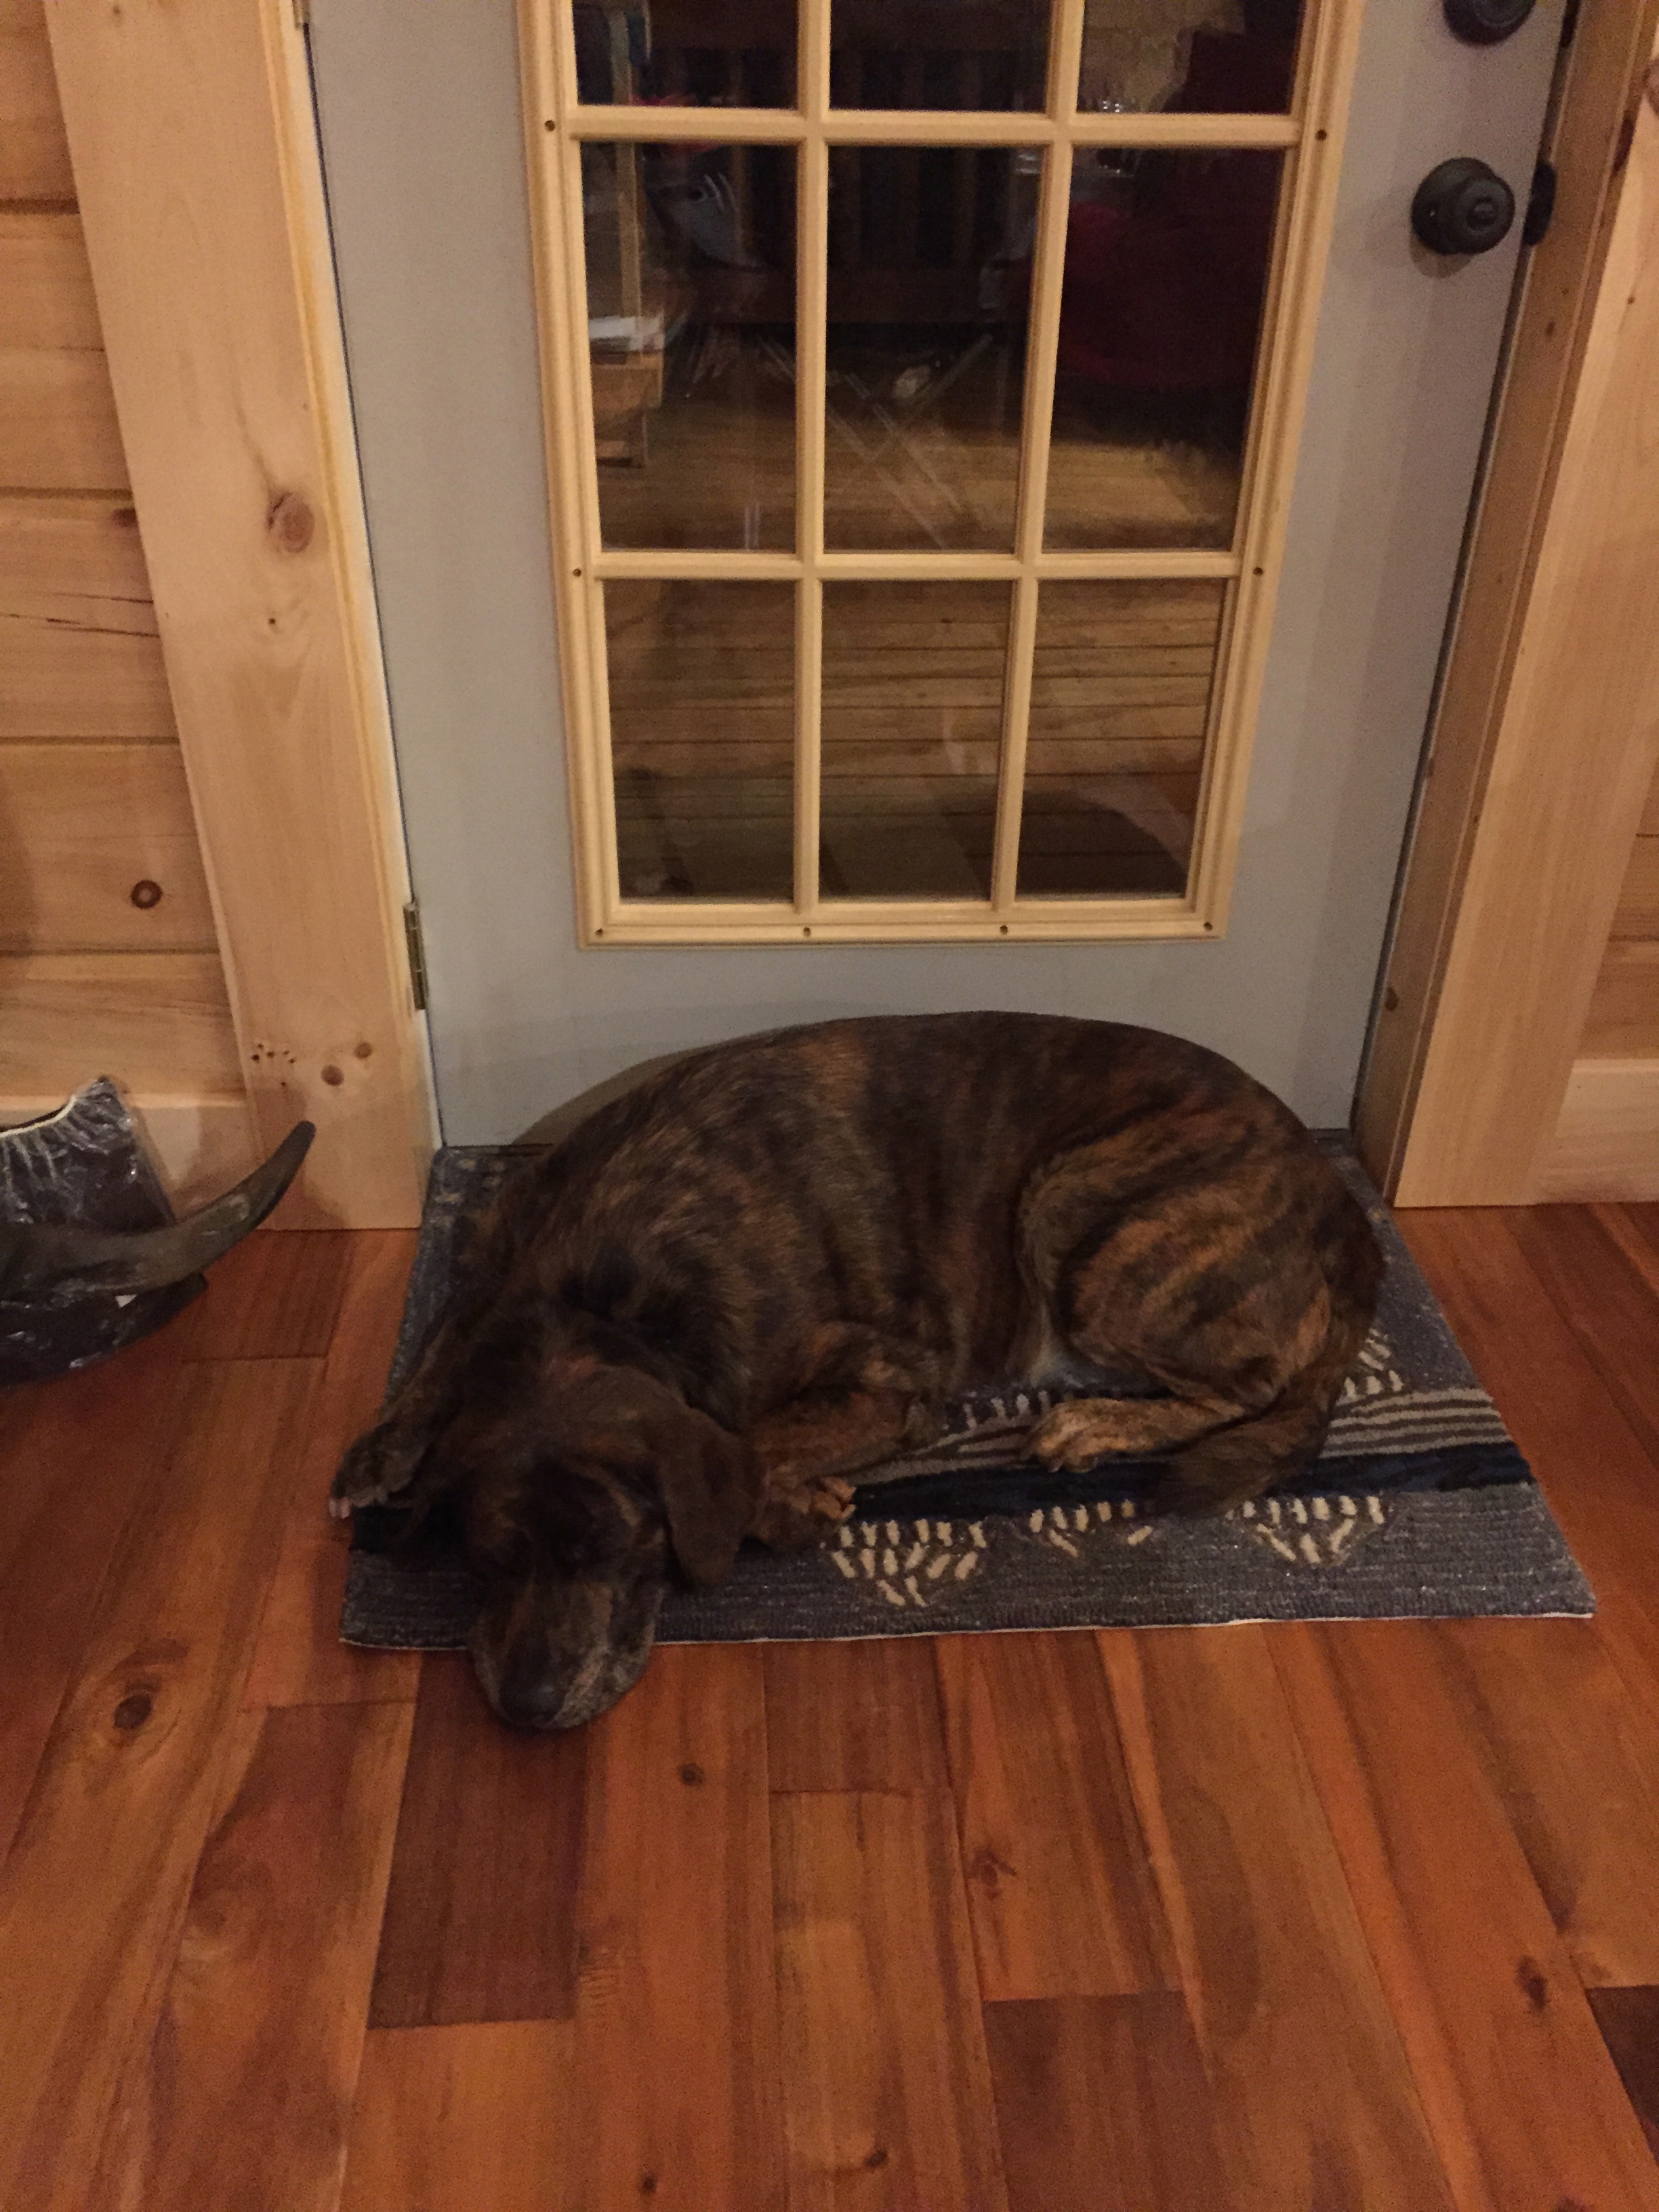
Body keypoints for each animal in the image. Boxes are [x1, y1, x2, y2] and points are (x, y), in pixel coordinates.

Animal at [331, 1014, 1382, 1729]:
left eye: (617, 1550)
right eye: (488, 1557)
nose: (529, 1706)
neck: (600, 1291)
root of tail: (1337, 1195)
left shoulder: (887, 1377)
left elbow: (752, 1441)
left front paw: (788, 1504)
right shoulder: (495, 1261)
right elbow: (444, 1347)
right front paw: (379, 1450)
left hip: (1078, 1209)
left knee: (1252, 1387)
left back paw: (1098, 1423)